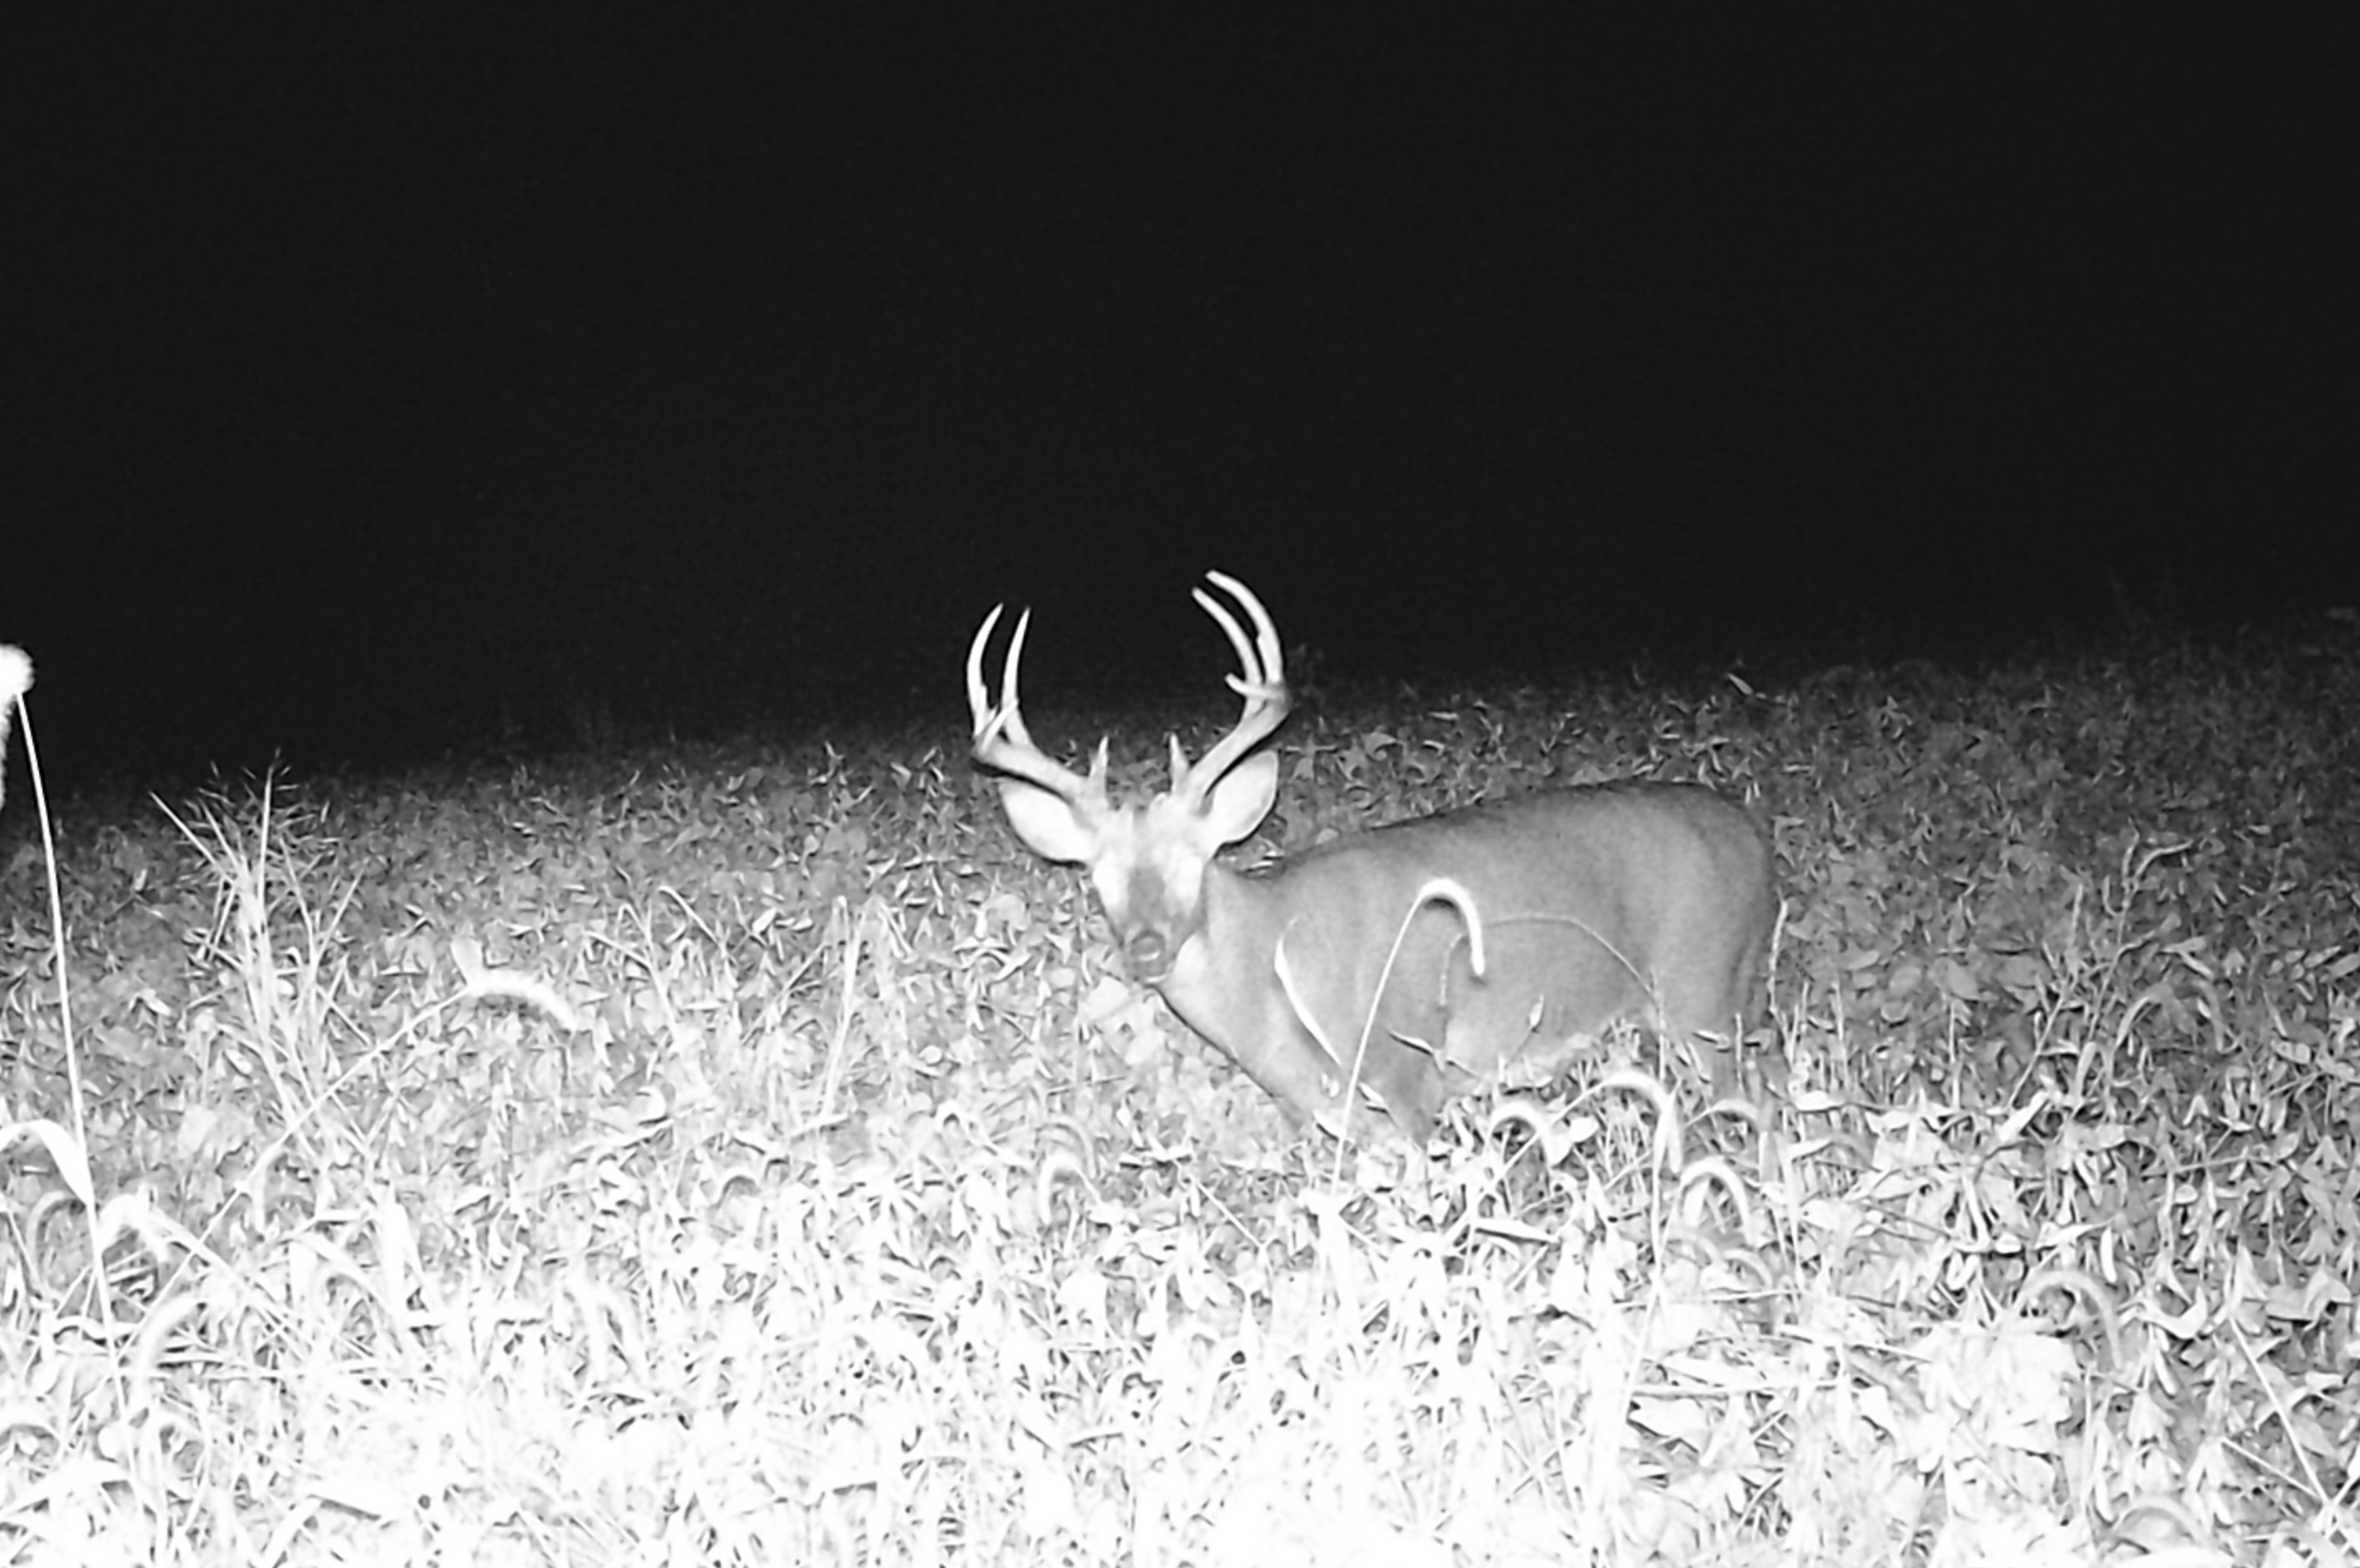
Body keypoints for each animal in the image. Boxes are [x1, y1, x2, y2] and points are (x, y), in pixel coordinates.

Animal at [966, 572, 1777, 1144]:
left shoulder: (1406, 1066)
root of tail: (1751, 836)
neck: (1274, 970)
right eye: (1097, 877)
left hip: (1701, 992)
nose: (1144, 949)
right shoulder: (1320, 1111)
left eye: (1194, 861)